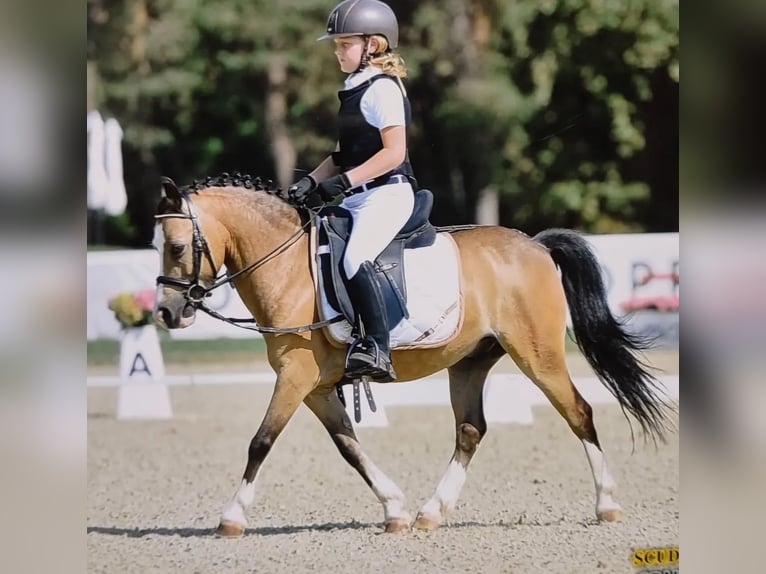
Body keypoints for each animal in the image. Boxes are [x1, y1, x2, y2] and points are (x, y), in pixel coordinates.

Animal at [153, 172, 672, 537]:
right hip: (471, 361)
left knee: (578, 412)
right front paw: (395, 508)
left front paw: (231, 517)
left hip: (538, 354)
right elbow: (349, 447)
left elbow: (260, 441)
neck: (287, 268)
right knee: (470, 431)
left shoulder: (294, 377)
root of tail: (535, 245)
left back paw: (607, 505)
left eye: (176, 246)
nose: (166, 312)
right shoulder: (315, 386)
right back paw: (430, 512)